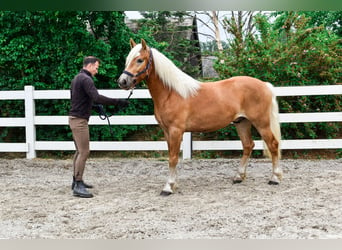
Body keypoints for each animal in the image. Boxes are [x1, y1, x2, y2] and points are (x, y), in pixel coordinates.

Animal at [118, 38, 284, 195]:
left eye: (140, 60)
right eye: (127, 59)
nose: (122, 81)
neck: (171, 93)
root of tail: (265, 85)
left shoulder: (176, 131)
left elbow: (173, 158)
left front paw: (168, 187)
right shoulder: (166, 131)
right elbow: (171, 156)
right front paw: (174, 184)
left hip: (261, 123)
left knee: (273, 144)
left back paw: (275, 178)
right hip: (242, 122)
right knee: (248, 145)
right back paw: (239, 177)